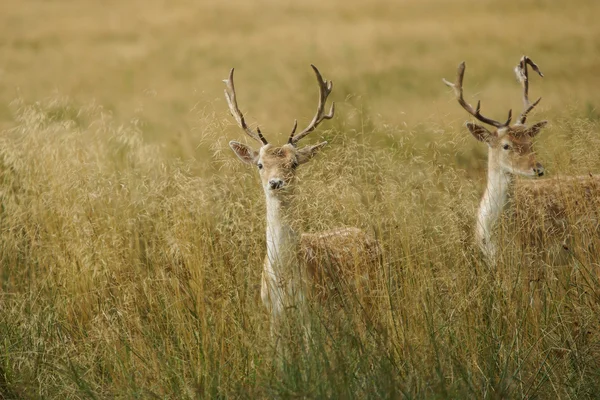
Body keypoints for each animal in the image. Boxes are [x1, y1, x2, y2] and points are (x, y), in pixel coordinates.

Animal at [223, 65, 382, 344]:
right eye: (260, 164)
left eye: (294, 163)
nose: (276, 182)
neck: (283, 278)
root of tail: (365, 235)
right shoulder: (272, 312)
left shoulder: (311, 307)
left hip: (371, 293)